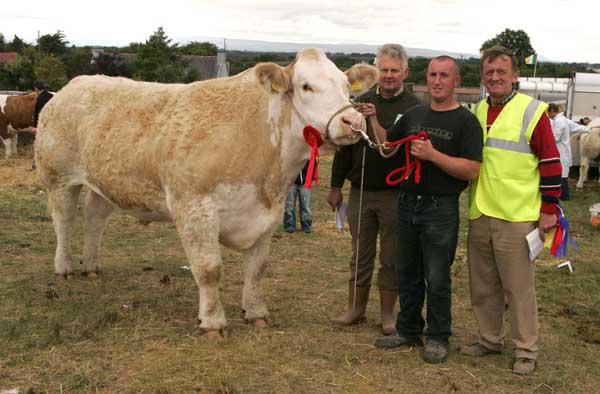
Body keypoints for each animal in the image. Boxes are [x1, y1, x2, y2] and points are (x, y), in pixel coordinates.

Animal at [35, 48, 378, 336]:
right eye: (306, 86)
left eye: (347, 87)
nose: (353, 120)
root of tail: (72, 86)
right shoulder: (194, 208)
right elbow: (209, 270)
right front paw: (213, 322)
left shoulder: (268, 213)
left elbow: (257, 269)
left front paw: (256, 313)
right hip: (58, 176)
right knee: (64, 221)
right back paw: (65, 268)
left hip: (106, 183)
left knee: (95, 219)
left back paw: (92, 266)